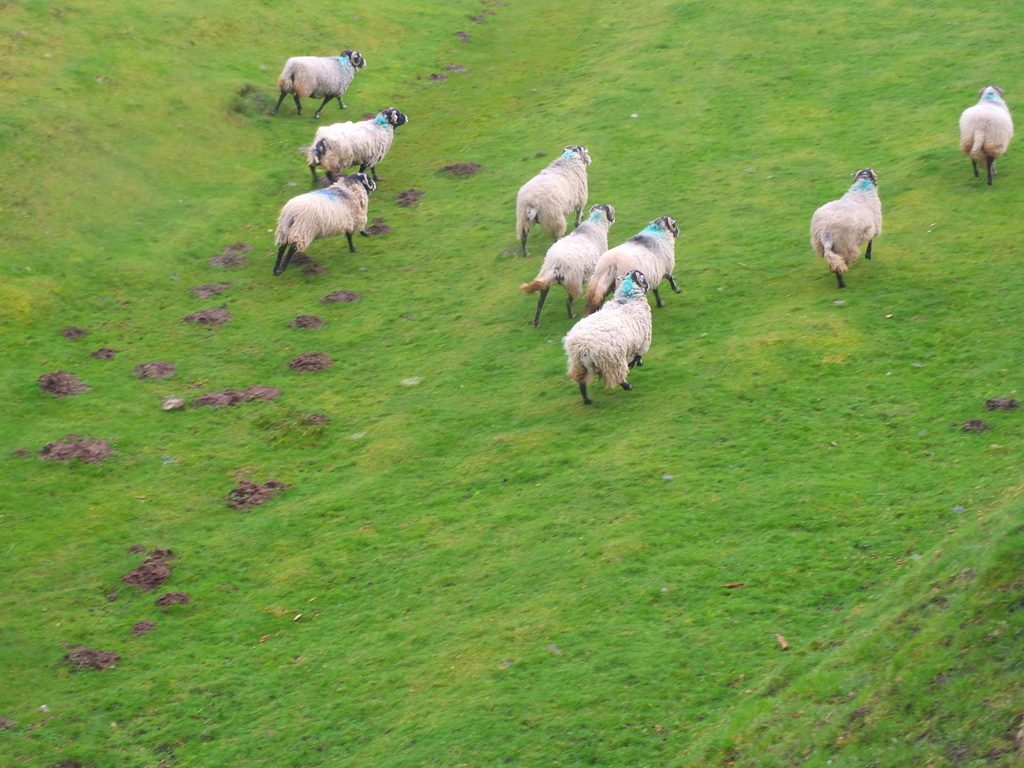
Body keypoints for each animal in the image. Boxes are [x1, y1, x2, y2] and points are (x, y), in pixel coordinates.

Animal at [564, 270, 652, 405]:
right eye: (643, 277)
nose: (649, 286)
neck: (627, 299)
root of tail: (582, 346)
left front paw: (636, 364)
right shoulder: (643, 340)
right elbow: (638, 356)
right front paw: (634, 364)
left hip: (579, 365)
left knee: (582, 383)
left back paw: (587, 400)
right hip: (612, 361)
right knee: (619, 377)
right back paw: (628, 386)